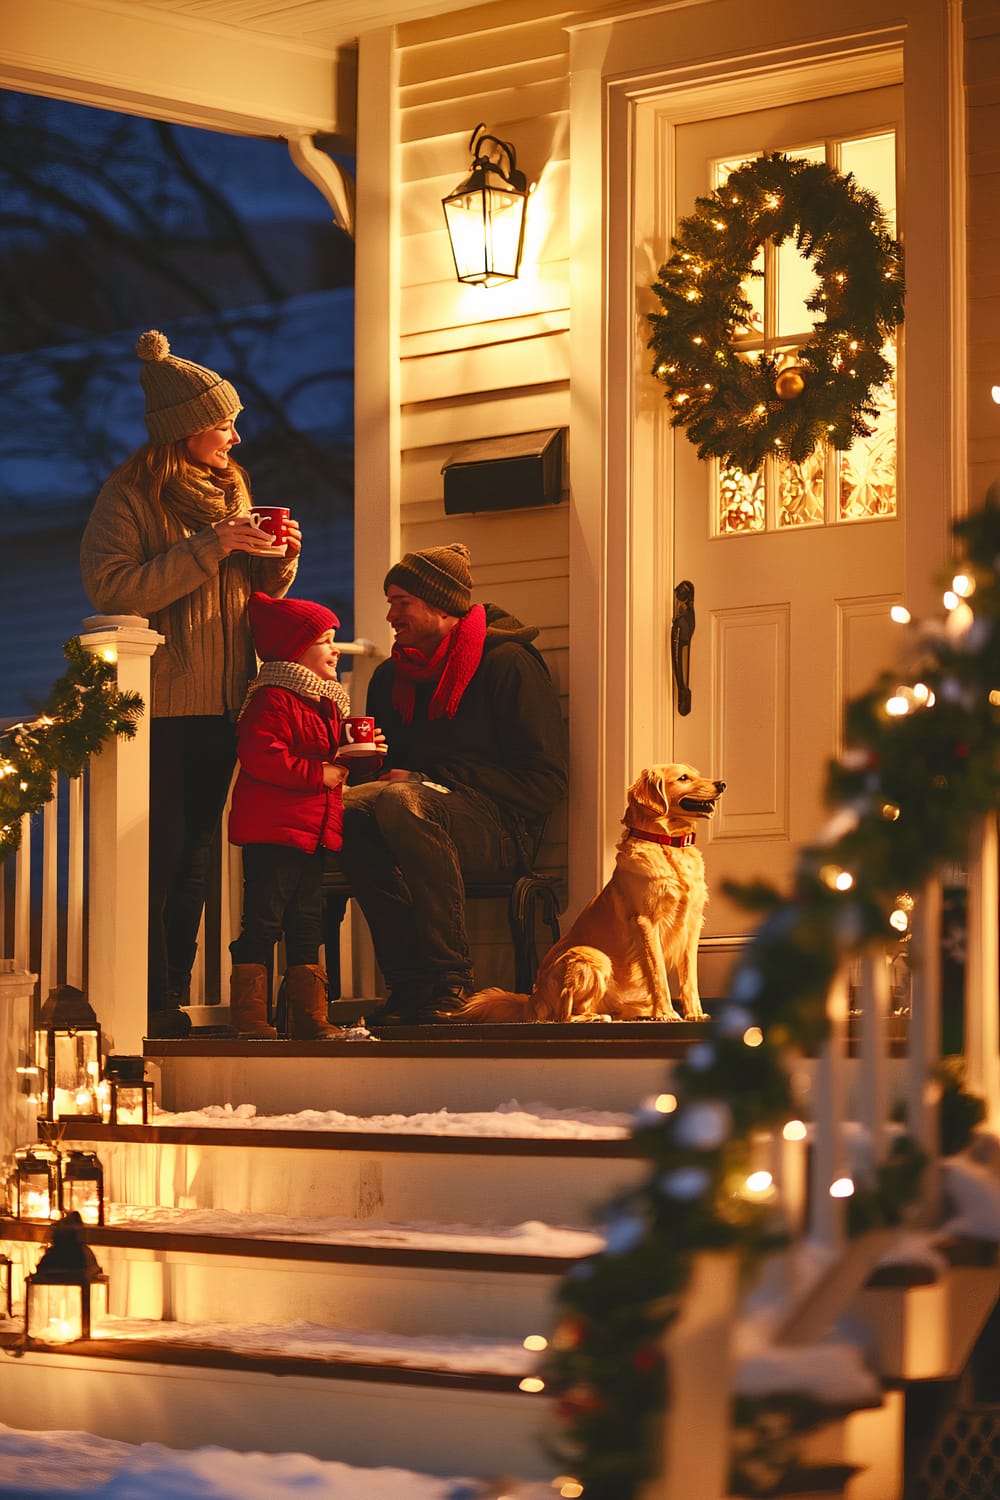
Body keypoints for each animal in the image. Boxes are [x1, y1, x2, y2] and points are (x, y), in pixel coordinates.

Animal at [461, 768, 728, 1026]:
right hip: (593, 956)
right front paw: (666, 1013)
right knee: (563, 1015)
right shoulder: (647, 922)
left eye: (697, 773)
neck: (667, 845)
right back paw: (598, 1017)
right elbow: (658, 974)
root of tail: (532, 998)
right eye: (683, 778)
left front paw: (694, 1013)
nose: (721, 784)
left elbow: (690, 978)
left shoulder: (691, 924)